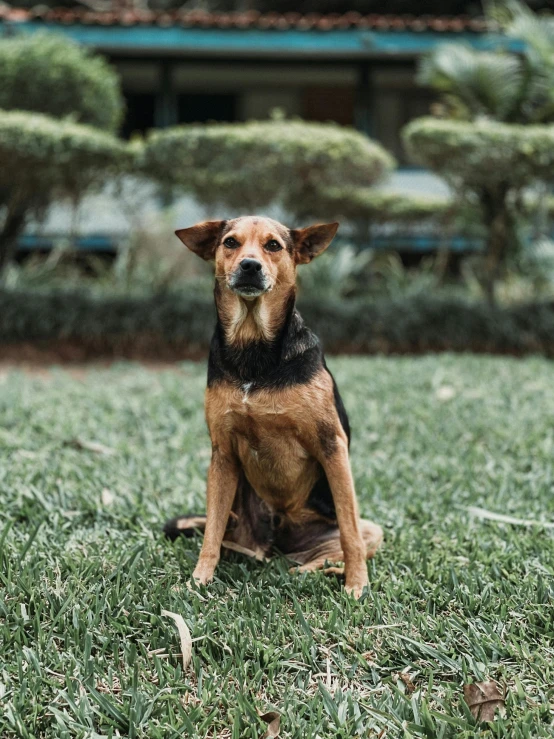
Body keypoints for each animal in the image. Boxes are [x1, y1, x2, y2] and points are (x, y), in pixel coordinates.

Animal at [162, 217, 382, 600]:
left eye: (273, 246)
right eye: (231, 243)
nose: (250, 266)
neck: (254, 349)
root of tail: (277, 541)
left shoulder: (332, 445)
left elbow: (350, 533)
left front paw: (357, 585)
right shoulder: (222, 454)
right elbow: (210, 537)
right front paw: (198, 581)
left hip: (369, 529)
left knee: (334, 548)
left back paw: (315, 572)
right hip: (239, 519)